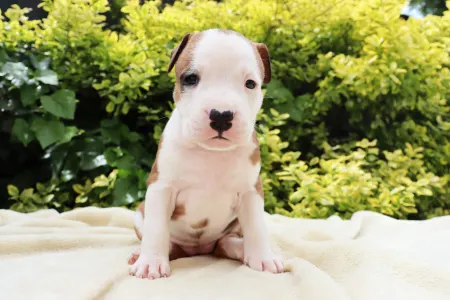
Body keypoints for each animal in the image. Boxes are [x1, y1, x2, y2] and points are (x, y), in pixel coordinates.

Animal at [126, 28, 284, 278]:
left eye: (250, 83)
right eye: (191, 79)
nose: (221, 115)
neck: (211, 153)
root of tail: (198, 250)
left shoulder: (251, 191)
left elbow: (257, 227)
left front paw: (263, 257)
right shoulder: (161, 188)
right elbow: (156, 229)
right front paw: (150, 263)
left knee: (225, 243)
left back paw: (240, 248)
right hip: (140, 213)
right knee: (169, 243)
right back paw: (139, 253)